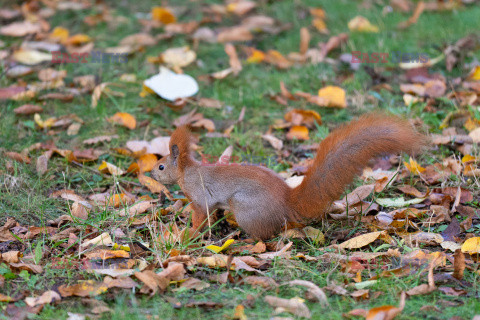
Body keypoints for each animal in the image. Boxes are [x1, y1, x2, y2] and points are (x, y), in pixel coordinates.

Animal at [152, 114, 422, 239]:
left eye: (161, 166)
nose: (150, 173)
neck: (187, 171)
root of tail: (286, 203)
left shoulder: (199, 199)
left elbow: (199, 217)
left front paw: (189, 233)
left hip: (245, 207)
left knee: (264, 235)